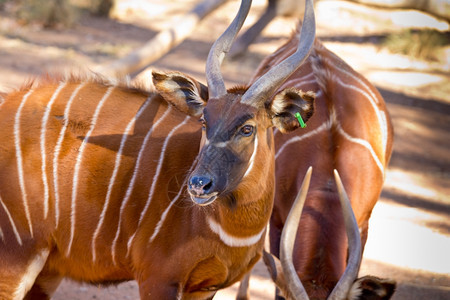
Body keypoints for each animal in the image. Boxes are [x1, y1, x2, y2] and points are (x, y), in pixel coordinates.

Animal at [0, 0, 316, 298]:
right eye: (204, 121)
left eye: (247, 128)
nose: (198, 185)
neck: (232, 229)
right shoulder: (158, 279)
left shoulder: (203, 288)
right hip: (17, 256)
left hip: (47, 270)